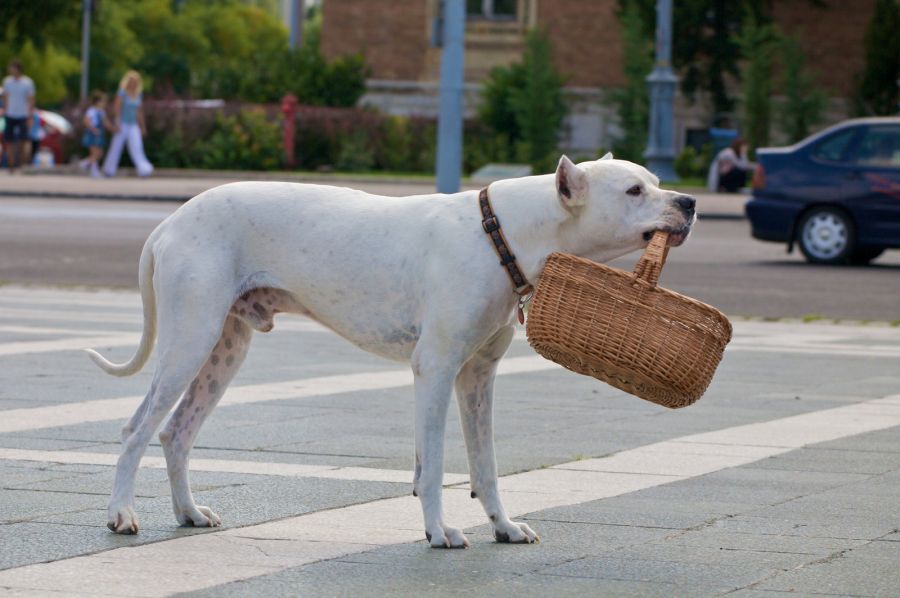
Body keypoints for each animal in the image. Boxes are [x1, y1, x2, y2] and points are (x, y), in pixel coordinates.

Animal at [88, 155, 696, 548]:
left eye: (658, 182)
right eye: (634, 191)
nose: (689, 201)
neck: (497, 232)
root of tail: (172, 220)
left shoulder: (478, 377)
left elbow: (485, 465)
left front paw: (502, 526)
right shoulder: (437, 370)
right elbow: (435, 467)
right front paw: (439, 531)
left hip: (224, 349)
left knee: (176, 433)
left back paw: (188, 513)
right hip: (189, 340)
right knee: (136, 429)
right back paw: (120, 513)